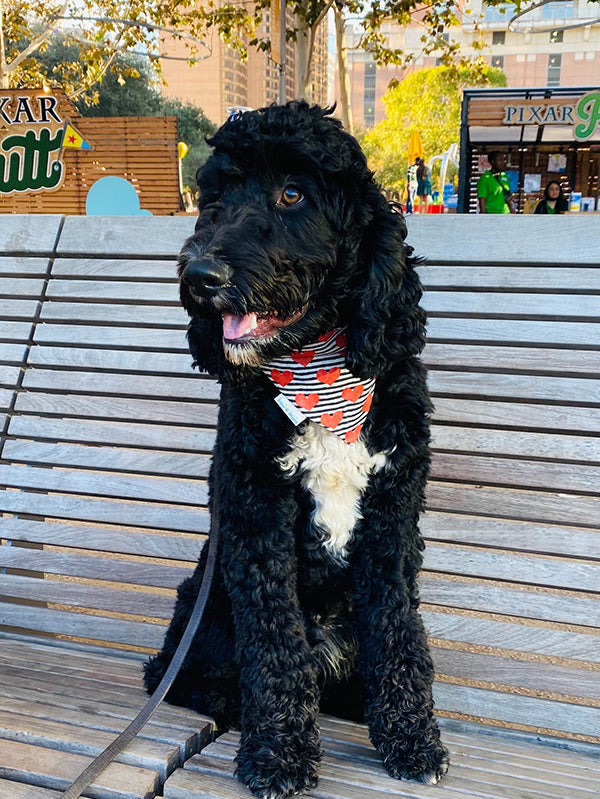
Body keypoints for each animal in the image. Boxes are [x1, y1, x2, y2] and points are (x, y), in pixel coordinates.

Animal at [143, 101, 448, 799]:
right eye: (216, 196)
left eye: (292, 194)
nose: (200, 277)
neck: (318, 367)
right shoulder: (257, 515)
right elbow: (274, 638)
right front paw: (279, 752)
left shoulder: (392, 518)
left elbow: (398, 627)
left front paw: (412, 738)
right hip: (203, 613)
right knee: (180, 673)